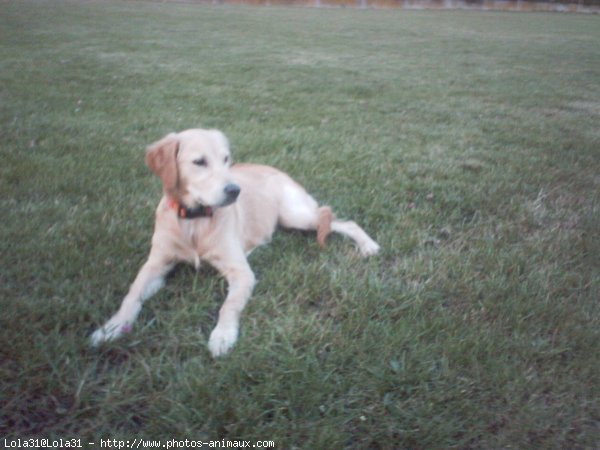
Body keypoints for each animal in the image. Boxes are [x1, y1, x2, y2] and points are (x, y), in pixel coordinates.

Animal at [90, 128, 380, 356]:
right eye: (199, 162)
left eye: (226, 159)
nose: (234, 190)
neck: (195, 221)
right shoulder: (156, 264)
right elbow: (132, 294)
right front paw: (111, 328)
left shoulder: (241, 272)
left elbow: (228, 306)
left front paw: (222, 335)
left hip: (295, 215)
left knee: (343, 222)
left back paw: (368, 246)